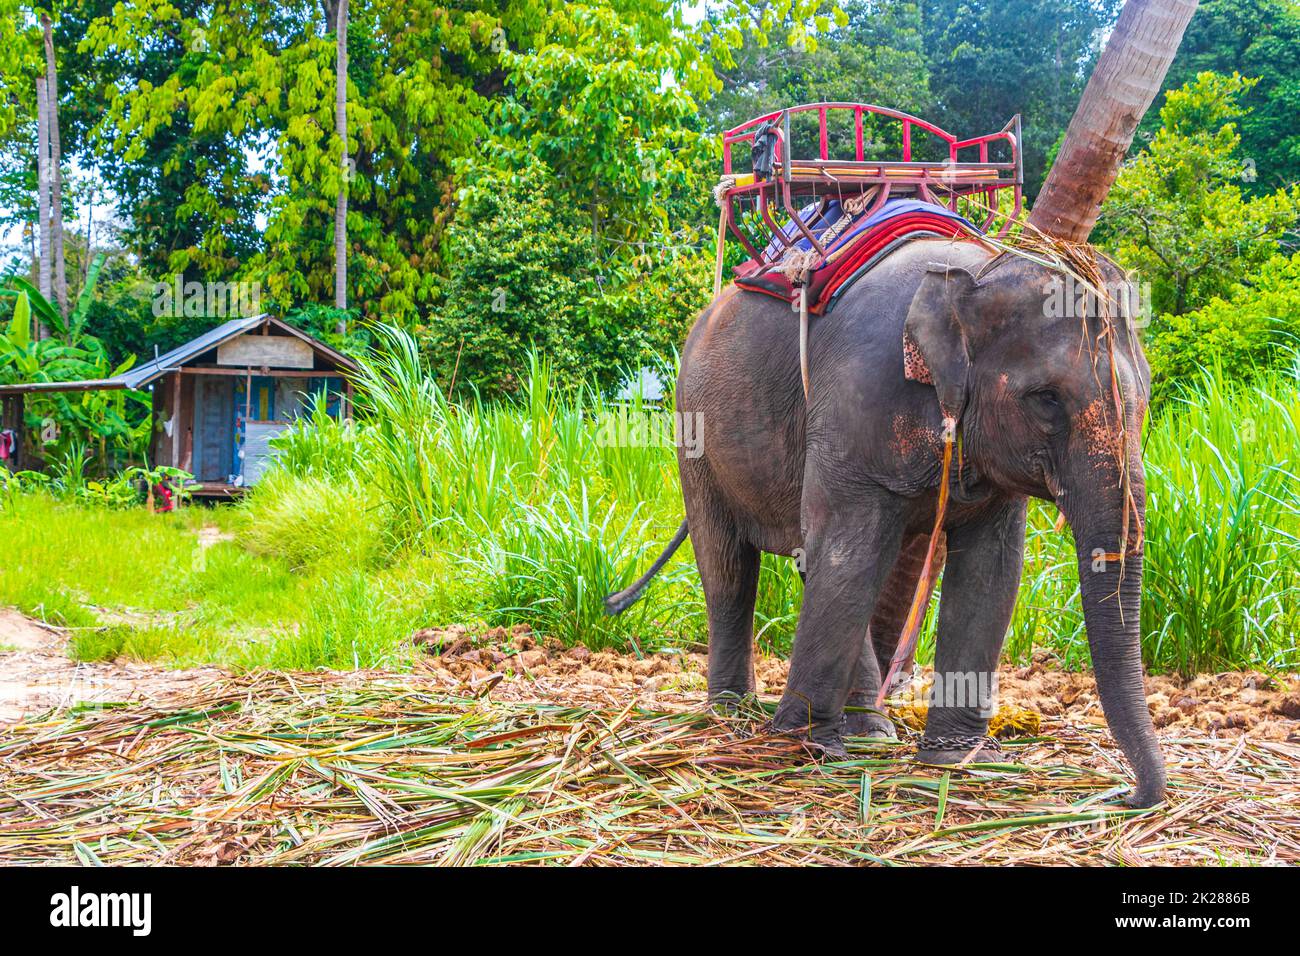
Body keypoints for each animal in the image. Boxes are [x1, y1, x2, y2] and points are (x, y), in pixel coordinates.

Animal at [608, 238, 1170, 806]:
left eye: (1147, 395)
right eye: (1047, 399)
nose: (1125, 797)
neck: (975, 273)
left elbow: (990, 573)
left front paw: (956, 759)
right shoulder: (857, 399)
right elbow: (848, 555)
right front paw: (803, 750)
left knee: (818, 560)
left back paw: (870, 732)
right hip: (694, 436)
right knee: (732, 570)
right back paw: (733, 713)